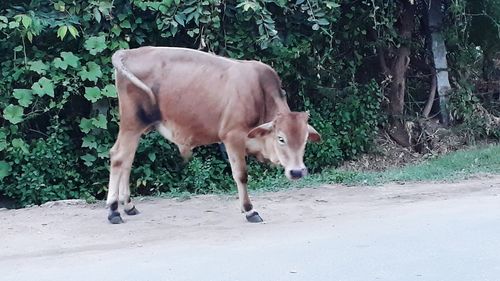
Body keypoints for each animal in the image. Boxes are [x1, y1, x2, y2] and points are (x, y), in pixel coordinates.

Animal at [107, 47, 322, 224]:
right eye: (281, 138)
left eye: (304, 140)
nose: (297, 172)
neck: (260, 95)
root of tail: (128, 52)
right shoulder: (233, 136)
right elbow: (241, 175)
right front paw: (249, 210)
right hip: (131, 124)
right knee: (118, 157)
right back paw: (113, 210)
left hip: (137, 129)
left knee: (127, 160)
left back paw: (128, 206)